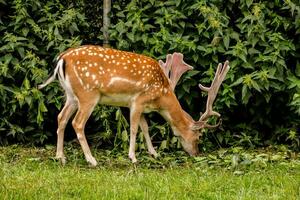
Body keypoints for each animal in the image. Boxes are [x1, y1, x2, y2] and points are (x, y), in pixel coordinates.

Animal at [38, 45, 230, 166]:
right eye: (199, 136)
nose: (196, 154)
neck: (161, 95)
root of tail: (62, 59)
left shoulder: (143, 107)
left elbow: (145, 127)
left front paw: (154, 153)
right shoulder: (137, 101)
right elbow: (134, 128)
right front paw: (133, 157)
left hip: (71, 96)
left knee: (61, 117)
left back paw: (60, 157)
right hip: (88, 94)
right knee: (77, 123)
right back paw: (91, 160)